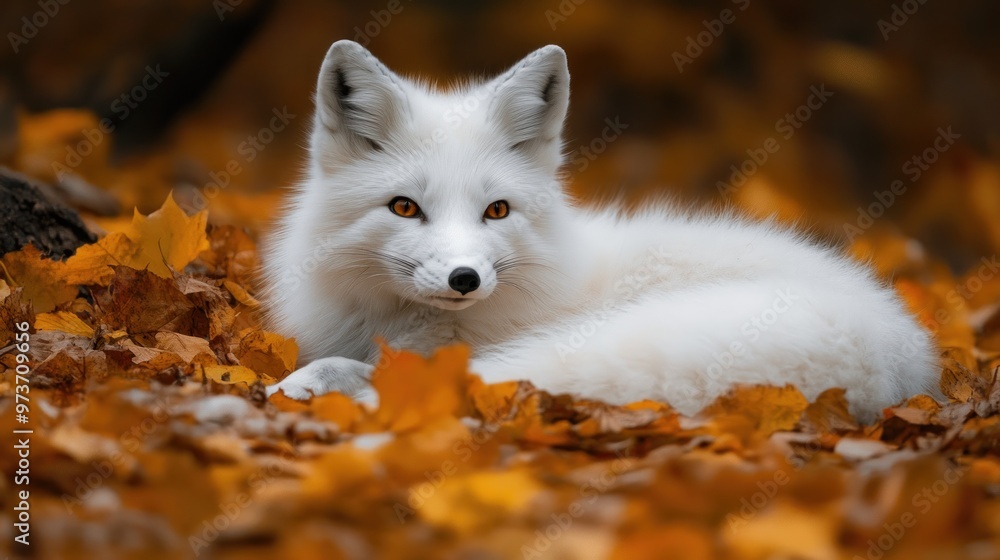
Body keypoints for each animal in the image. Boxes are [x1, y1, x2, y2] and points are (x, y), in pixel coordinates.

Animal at [262, 40, 940, 421]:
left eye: (496, 211)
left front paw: (301, 387)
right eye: (405, 208)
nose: (464, 278)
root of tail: (904, 357)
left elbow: (354, 371)